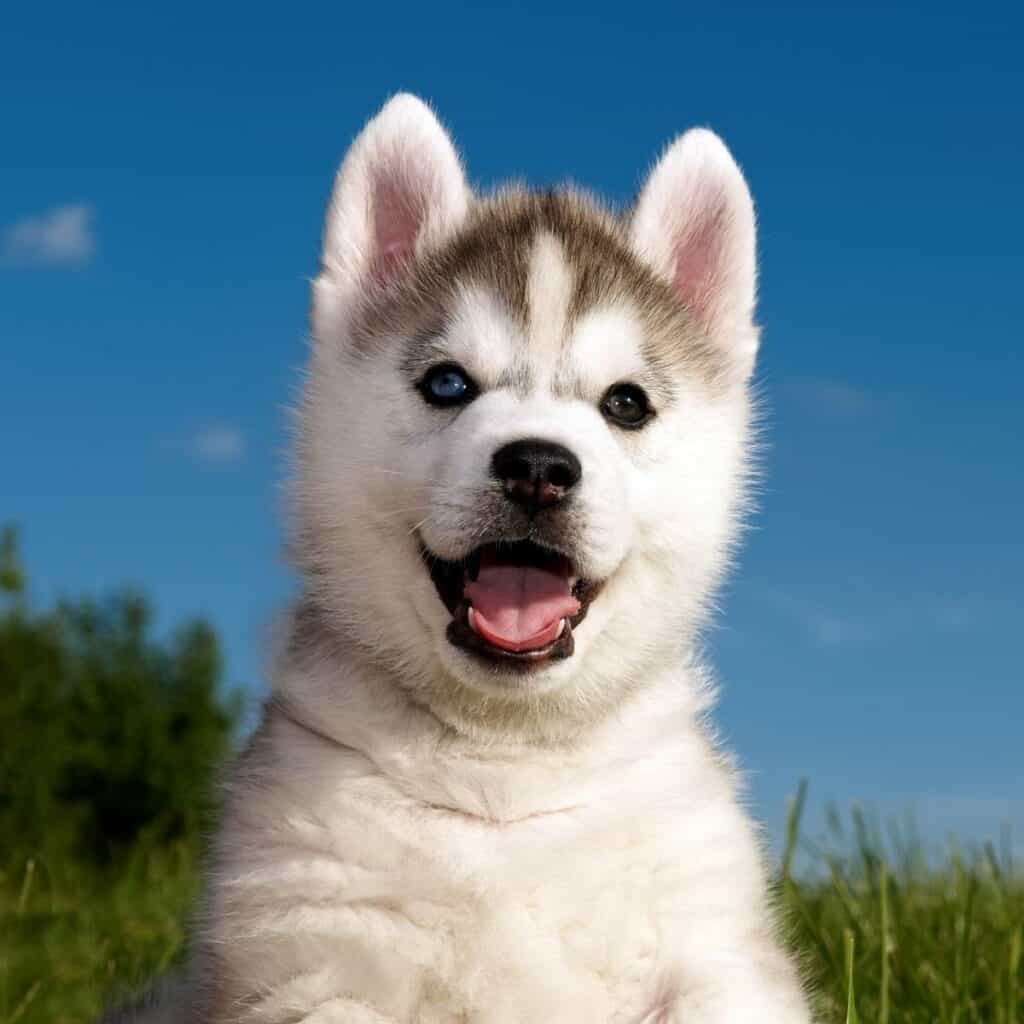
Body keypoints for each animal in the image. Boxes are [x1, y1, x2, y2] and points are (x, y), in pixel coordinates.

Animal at [114, 94, 815, 1015]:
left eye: (626, 404)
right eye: (448, 384)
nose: (539, 467)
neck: (505, 770)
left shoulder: (714, 946)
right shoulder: (311, 960)